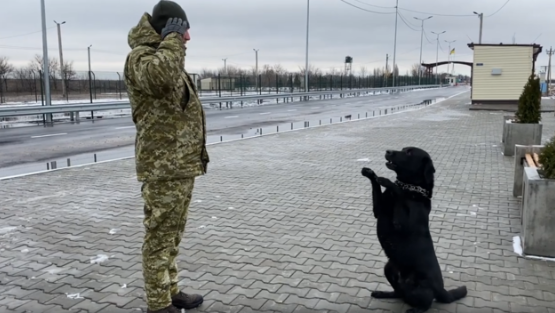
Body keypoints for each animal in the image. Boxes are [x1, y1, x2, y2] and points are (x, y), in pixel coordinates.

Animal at [362, 147, 466, 312]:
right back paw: (382, 293)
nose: (388, 151)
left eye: (409, 153)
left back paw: (416, 309)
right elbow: (377, 187)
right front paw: (371, 174)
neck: (411, 188)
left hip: (418, 285)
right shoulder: (378, 210)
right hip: (389, 269)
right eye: (403, 149)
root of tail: (441, 289)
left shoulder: (401, 224)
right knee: (399, 292)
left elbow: (399, 193)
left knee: (427, 302)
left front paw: (388, 182)